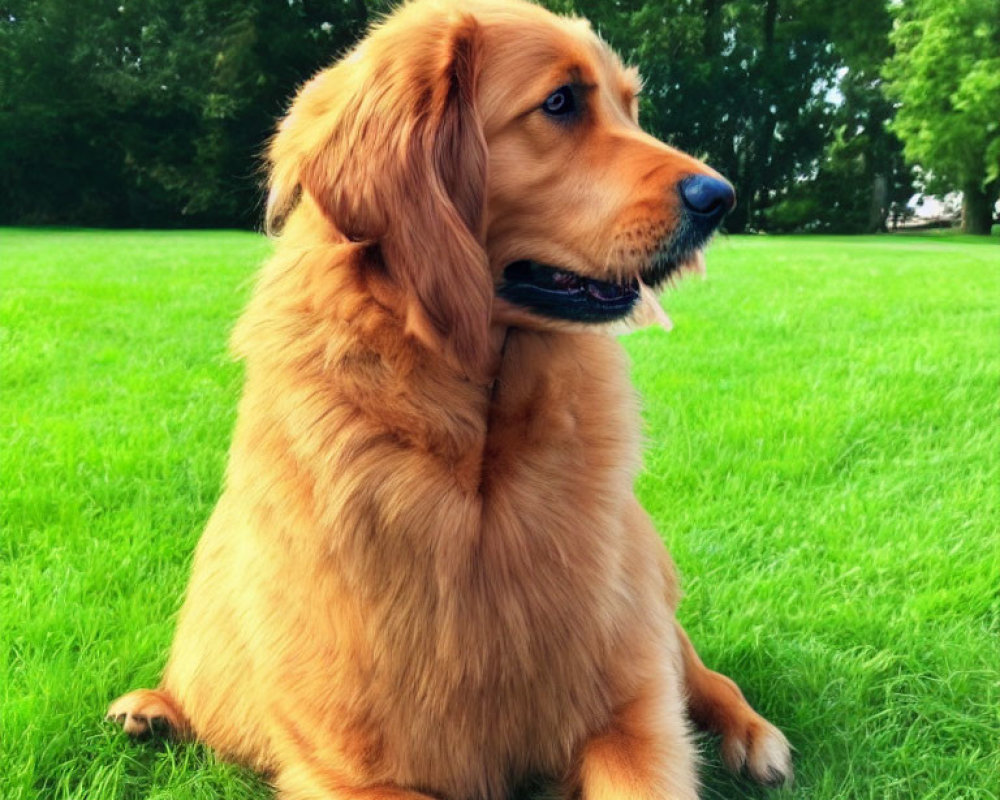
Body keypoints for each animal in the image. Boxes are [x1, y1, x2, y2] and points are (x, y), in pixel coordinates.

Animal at [109, 3, 792, 796]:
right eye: (560, 102)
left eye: (631, 106)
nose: (722, 199)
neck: (477, 454)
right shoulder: (347, 766)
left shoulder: (630, 710)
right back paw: (152, 708)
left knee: (700, 668)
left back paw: (755, 735)